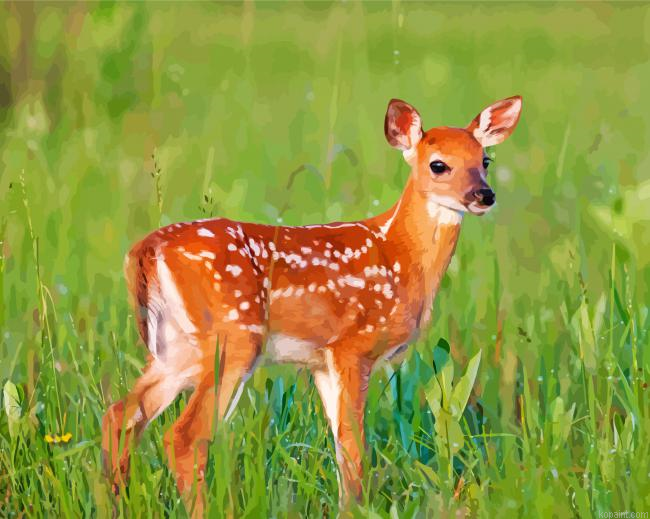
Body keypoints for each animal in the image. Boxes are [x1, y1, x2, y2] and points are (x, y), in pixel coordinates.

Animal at [102, 95, 522, 515]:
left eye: (485, 160)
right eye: (438, 164)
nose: (483, 195)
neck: (400, 256)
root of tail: (146, 249)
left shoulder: (321, 361)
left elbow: (340, 448)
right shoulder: (353, 345)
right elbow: (355, 448)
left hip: (177, 348)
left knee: (120, 415)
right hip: (234, 337)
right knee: (185, 436)